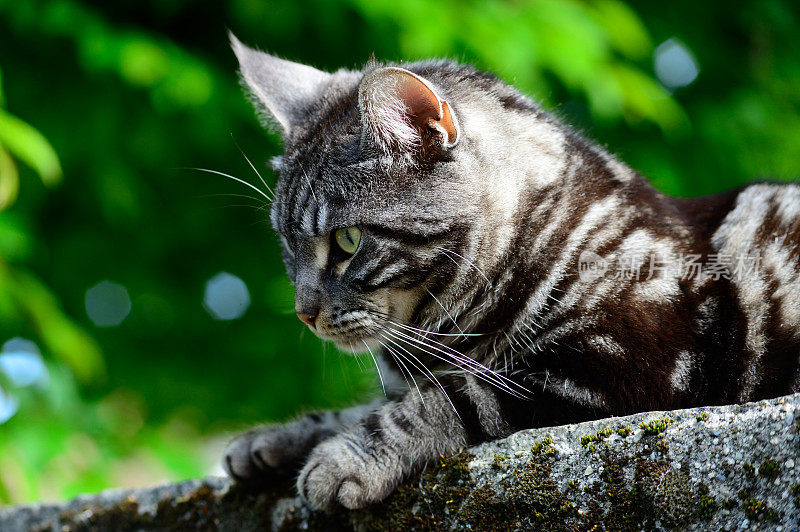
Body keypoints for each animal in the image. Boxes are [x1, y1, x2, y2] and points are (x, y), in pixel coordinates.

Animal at [222, 34, 800, 512]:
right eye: (287, 245)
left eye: (347, 241)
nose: (304, 312)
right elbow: (365, 405)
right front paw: (276, 439)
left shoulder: (628, 366)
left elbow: (450, 398)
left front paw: (345, 458)